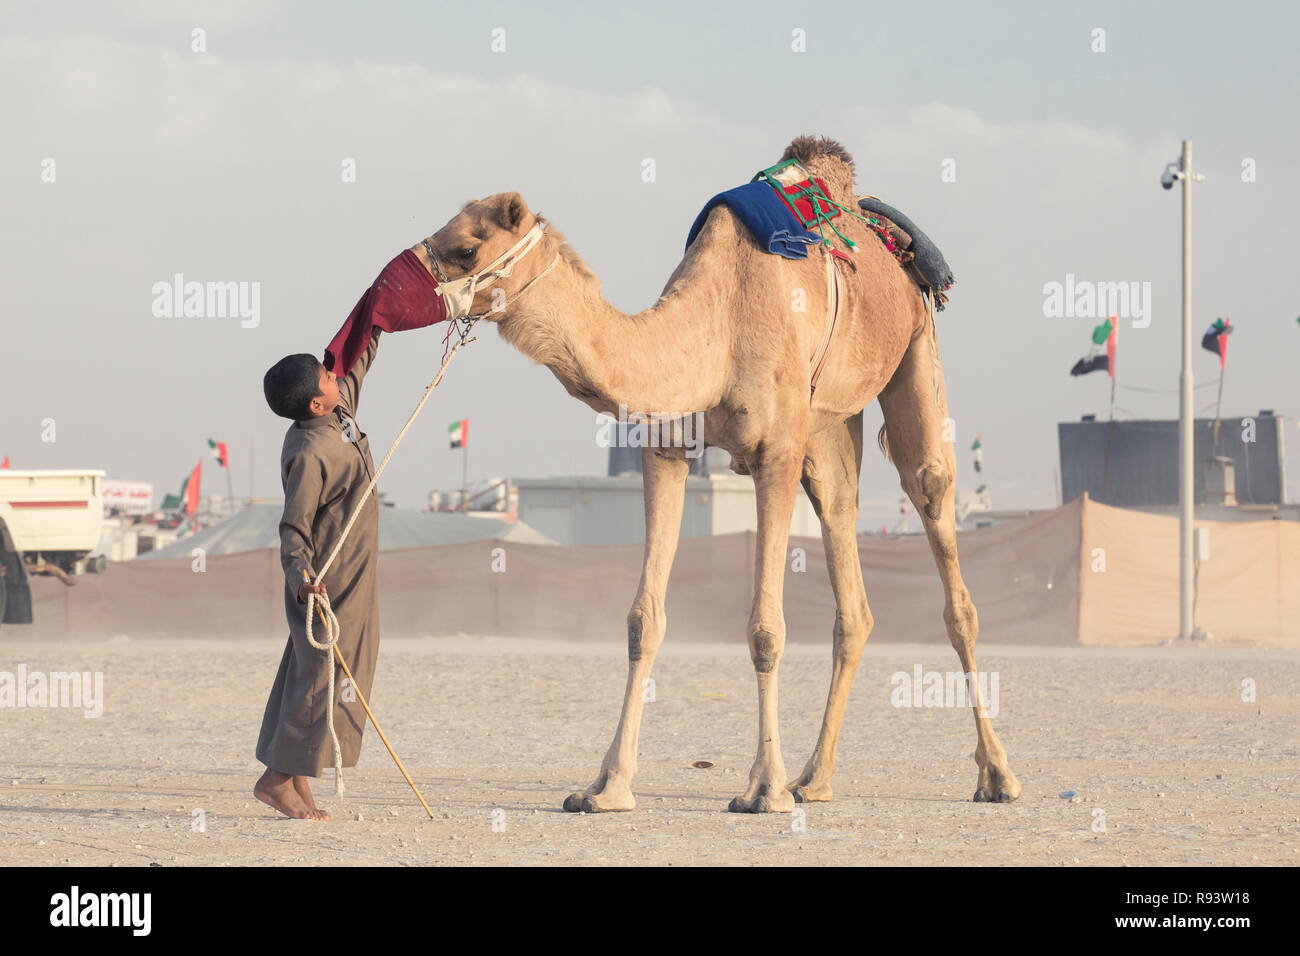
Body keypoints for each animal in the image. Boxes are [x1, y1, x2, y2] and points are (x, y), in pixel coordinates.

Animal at [413, 136, 1022, 812]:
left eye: (467, 247)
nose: (404, 277)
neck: (718, 325)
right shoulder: (667, 449)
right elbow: (642, 621)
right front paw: (606, 786)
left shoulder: (776, 452)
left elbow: (765, 629)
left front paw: (763, 789)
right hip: (828, 429)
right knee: (848, 562)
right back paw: (816, 778)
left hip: (915, 350)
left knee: (938, 519)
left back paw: (996, 775)